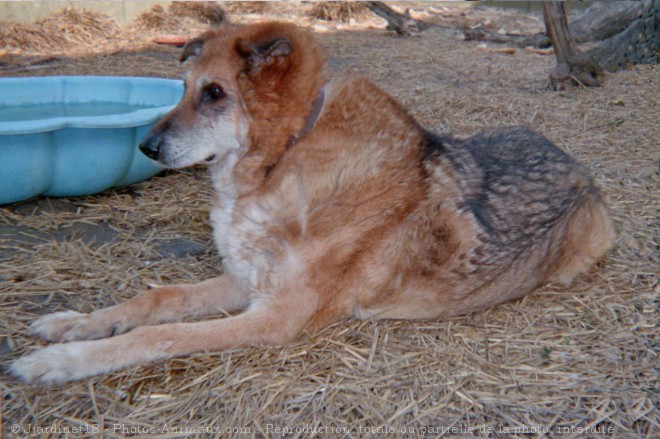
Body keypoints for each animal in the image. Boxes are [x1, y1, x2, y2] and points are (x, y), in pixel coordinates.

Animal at [9, 22, 612, 384]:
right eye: (181, 89)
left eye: (214, 94)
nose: (146, 148)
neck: (284, 157)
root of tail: (577, 164)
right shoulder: (248, 281)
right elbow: (159, 298)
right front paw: (74, 325)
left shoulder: (275, 315)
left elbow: (165, 334)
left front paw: (63, 361)